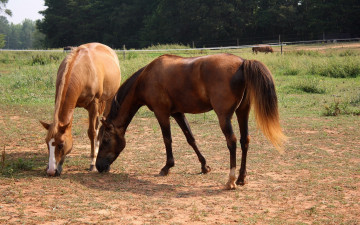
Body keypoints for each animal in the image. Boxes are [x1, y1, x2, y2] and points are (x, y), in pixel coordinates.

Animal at [39, 42, 121, 176]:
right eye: (47, 142)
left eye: (61, 145)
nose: (51, 171)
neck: (81, 71)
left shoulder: (94, 105)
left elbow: (92, 132)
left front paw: (93, 163)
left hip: (108, 100)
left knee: (101, 126)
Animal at [96, 53, 286, 189]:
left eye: (105, 141)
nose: (99, 166)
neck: (146, 77)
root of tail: (242, 62)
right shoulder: (178, 113)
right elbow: (190, 138)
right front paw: (204, 166)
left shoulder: (161, 113)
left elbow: (167, 139)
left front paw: (167, 167)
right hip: (242, 112)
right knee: (244, 140)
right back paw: (240, 178)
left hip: (224, 116)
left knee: (231, 142)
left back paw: (230, 180)